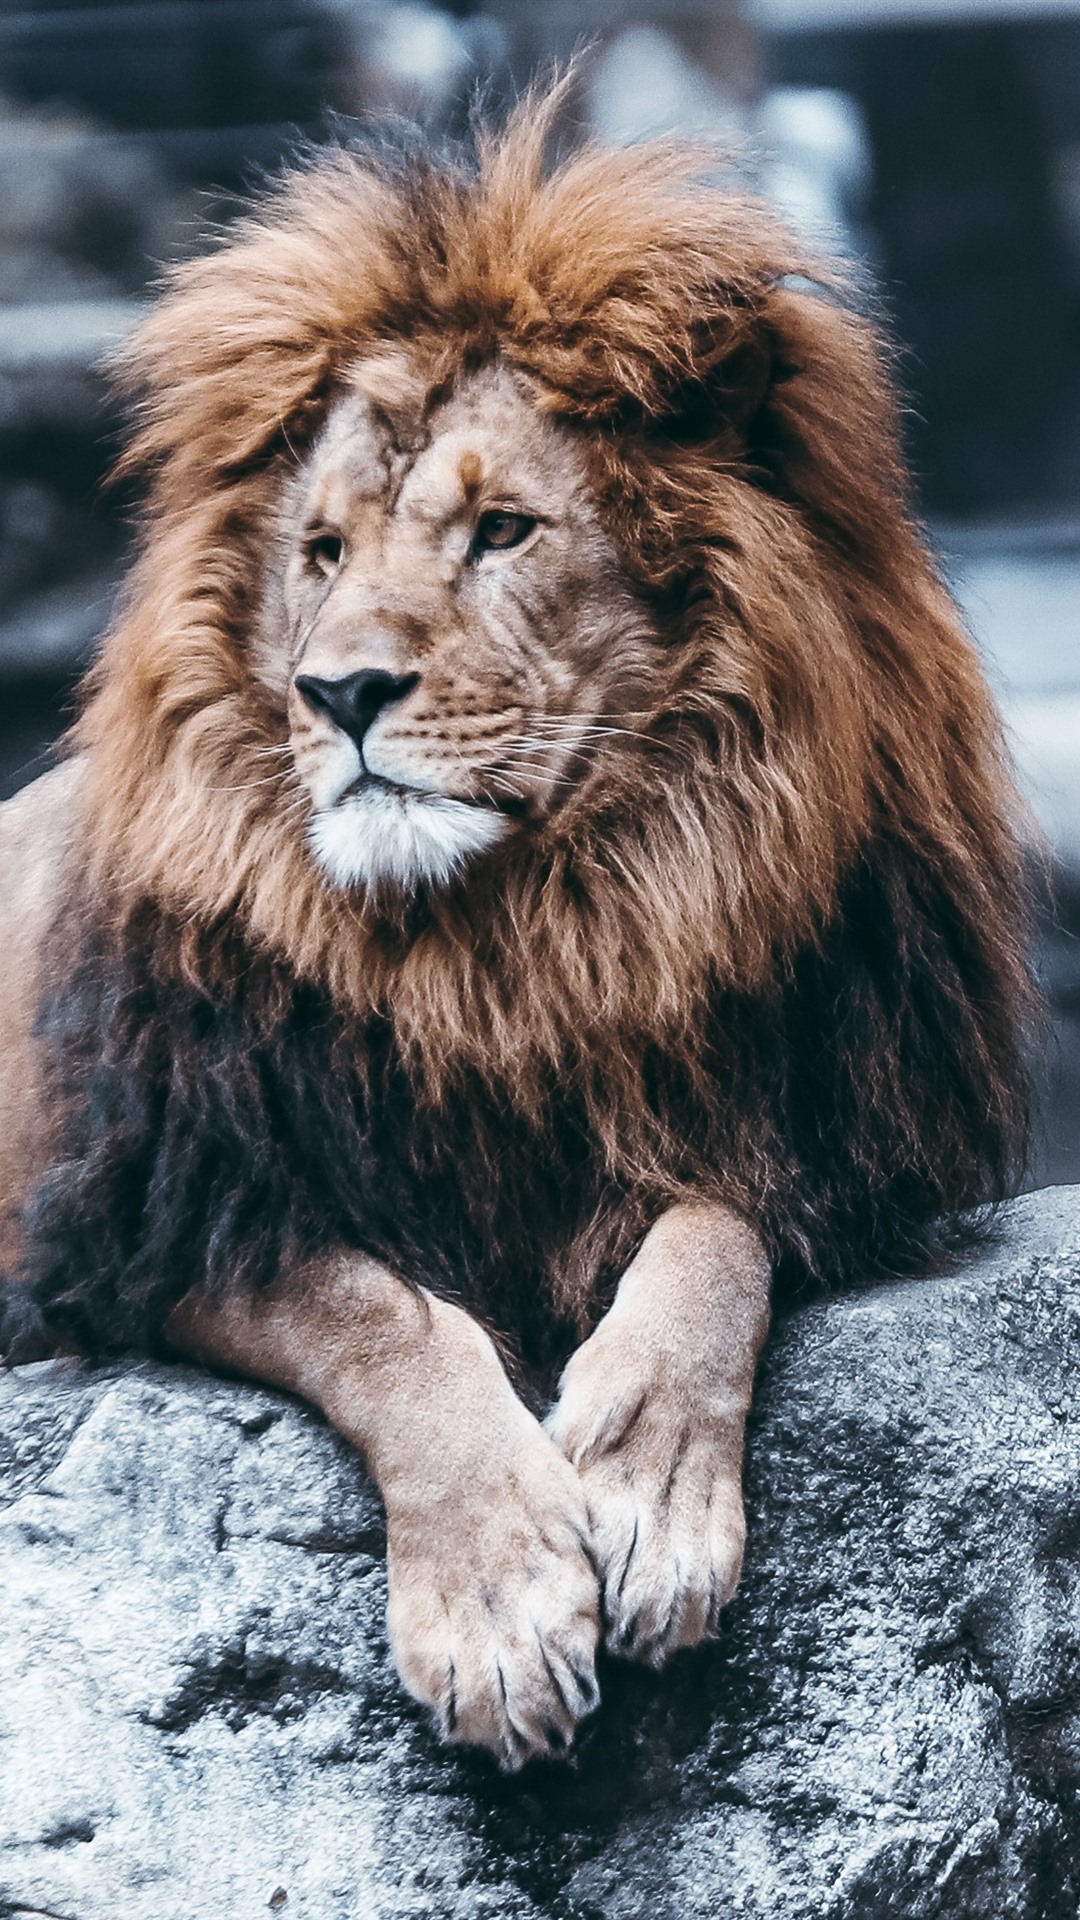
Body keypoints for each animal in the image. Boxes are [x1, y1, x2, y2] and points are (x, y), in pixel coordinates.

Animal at [0, 90, 1034, 1769]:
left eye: (501, 531)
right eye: (323, 554)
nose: (339, 691)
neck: (518, 940)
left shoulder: (816, 1122)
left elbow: (713, 1236)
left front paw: (644, 1489)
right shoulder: (154, 1214)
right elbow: (376, 1315)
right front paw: (496, 1598)